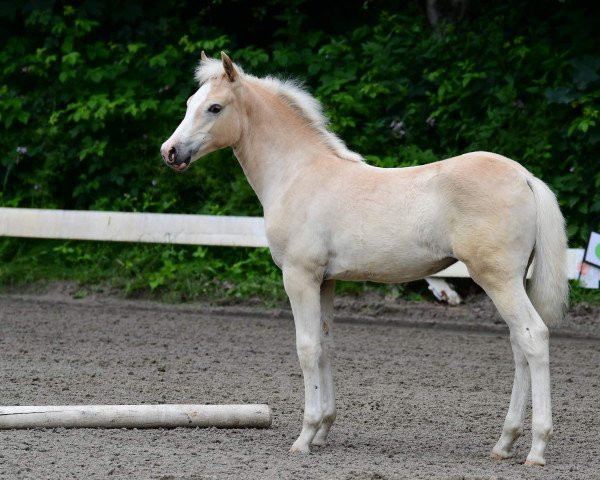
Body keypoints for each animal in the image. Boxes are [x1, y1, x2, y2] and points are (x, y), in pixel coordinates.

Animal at [159, 52, 568, 464]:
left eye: (215, 107)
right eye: (189, 103)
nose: (170, 152)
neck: (297, 175)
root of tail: (526, 177)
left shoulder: (299, 276)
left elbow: (307, 347)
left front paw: (304, 436)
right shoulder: (326, 280)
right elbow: (326, 345)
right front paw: (323, 431)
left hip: (497, 278)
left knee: (533, 337)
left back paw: (536, 448)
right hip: (513, 281)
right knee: (518, 345)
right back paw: (504, 443)